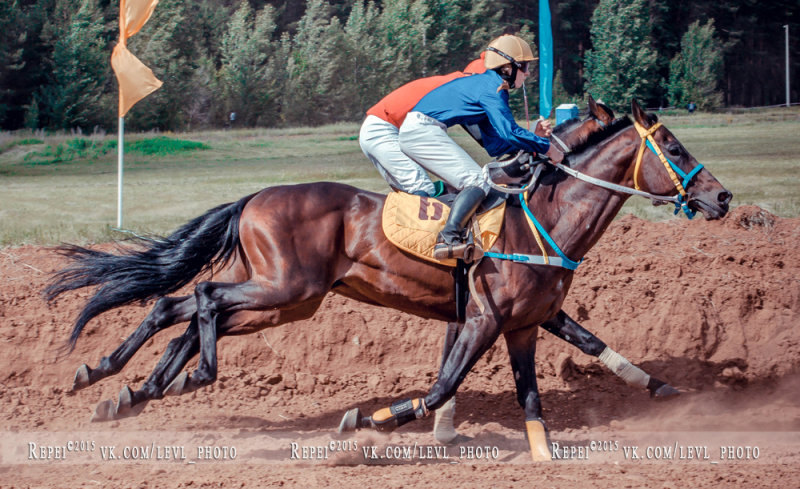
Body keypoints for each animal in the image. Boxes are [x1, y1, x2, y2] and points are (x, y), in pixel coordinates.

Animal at [45, 99, 732, 462]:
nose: (722, 197)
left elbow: (572, 359)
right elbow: (441, 384)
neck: (542, 216)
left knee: (176, 307)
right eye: (672, 145)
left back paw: (125, 384)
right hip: (285, 290)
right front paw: (371, 420)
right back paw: (178, 378)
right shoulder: (484, 318)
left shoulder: (527, 321)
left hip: (279, 300)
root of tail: (253, 198)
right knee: (200, 300)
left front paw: (666, 392)